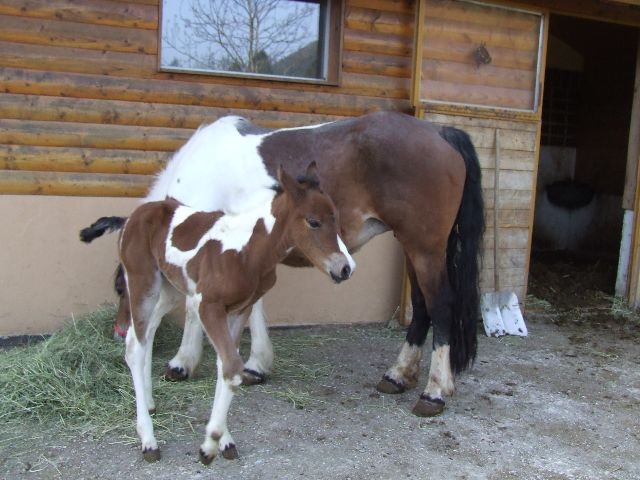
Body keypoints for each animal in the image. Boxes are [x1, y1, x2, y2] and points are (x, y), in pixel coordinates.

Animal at [82, 165, 356, 462]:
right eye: (313, 222)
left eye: (336, 217)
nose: (345, 268)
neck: (250, 250)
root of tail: (130, 217)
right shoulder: (208, 306)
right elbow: (232, 366)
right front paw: (210, 443)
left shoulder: (239, 309)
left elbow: (226, 364)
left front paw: (223, 440)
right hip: (144, 283)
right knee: (135, 345)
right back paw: (148, 439)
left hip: (170, 290)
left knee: (147, 333)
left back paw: (151, 403)